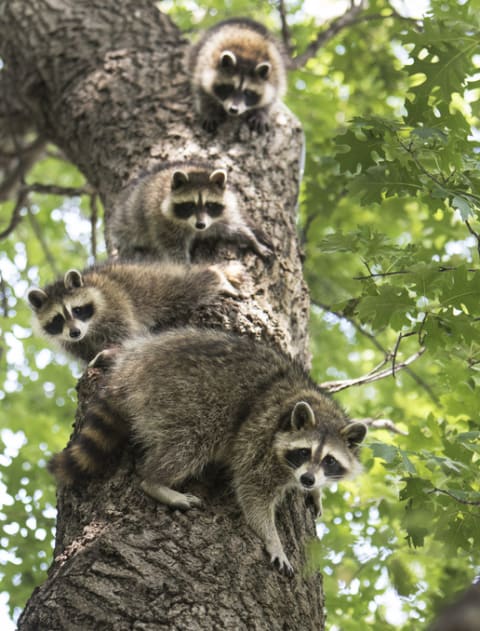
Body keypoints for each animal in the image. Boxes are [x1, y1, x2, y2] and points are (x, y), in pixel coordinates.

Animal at [27, 260, 244, 360]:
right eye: (58, 319)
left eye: (77, 310)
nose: (74, 332)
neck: (90, 328)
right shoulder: (72, 342)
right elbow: (84, 351)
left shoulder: (114, 303)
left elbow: (125, 334)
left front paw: (114, 349)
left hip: (151, 285)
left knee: (186, 288)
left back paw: (214, 275)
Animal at [49, 330, 368, 576]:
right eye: (303, 452)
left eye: (329, 460)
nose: (308, 480)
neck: (318, 409)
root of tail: (131, 367)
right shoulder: (259, 441)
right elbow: (253, 494)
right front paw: (274, 540)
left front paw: (315, 491)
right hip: (180, 396)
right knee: (192, 441)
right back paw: (157, 482)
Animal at [110, 162, 272, 262]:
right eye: (189, 206)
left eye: (209, 205)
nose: (200, 225)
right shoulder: (162, 224)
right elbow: (174, 251)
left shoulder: (215, 220)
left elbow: (234, 229)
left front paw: (252, 240)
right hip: (127, 219)